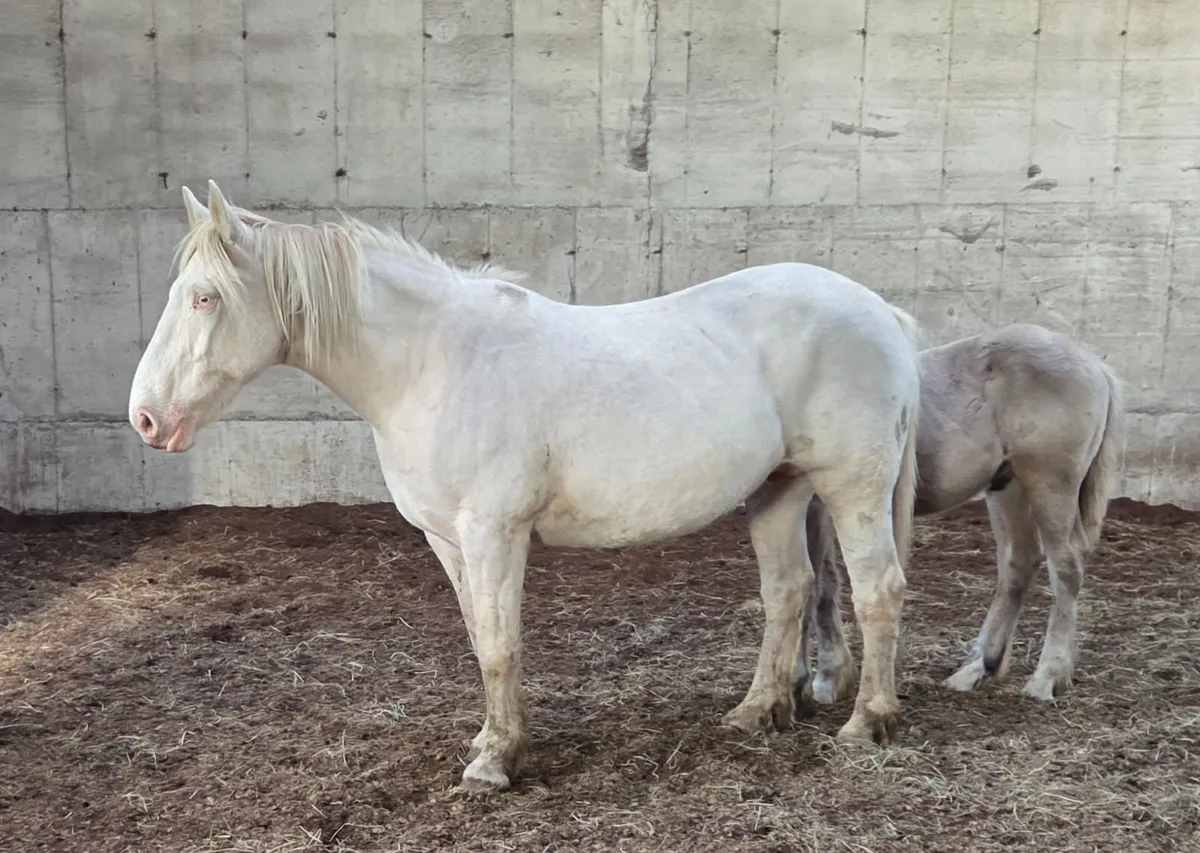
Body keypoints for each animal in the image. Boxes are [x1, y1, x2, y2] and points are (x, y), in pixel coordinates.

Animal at [129, 180, 923, 792]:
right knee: (788, 591)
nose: (145, 418)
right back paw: (757, 712)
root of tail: (879, 310)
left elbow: (502, 643)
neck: (432, 363)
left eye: (204, 298)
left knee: (877, 590)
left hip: (852, 487)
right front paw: (494, 741)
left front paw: (495, 764)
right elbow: (482, 638)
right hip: (779, 489)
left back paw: (868, 722)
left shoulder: (494, 533)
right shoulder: (448, 541)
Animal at [792, 323, 1124, 711]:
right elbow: (822, 583)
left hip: (1051, 487)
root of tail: (1094, 365)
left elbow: (815, 586)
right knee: (1018, 564)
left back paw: (1047, 676)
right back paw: (979, 667)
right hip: (1008, 488)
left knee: (1066, 568)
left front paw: (817, 679)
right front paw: (826, 678)